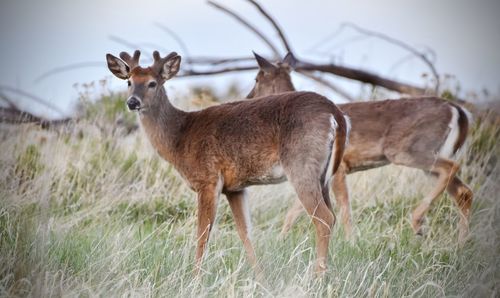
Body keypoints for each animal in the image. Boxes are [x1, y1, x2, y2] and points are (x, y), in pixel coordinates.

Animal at [105, 49, 348, 274]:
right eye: (129, 82)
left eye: (152, 83)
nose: (132, 102)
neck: (180, 138)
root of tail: (335, 112)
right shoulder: (235, 188)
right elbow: (245, 233)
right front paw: (260, 279)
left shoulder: (207, 179)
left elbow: (202, 234)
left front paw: (195, 279)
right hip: (323, 175)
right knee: (333, 215)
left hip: (301, 164)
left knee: (324, 218)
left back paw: (316, 278)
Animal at [248, 52, 474, 243]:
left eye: (257, 78)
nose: (249, 97)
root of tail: (458, 110)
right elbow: (295, 210)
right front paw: (280, 239)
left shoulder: (339, 169)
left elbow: (343, 210)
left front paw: (351, 243)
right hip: (430, 154)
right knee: (462, 191)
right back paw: (460, 244)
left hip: (409, 149)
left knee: (452, 168)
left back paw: (418, 222)